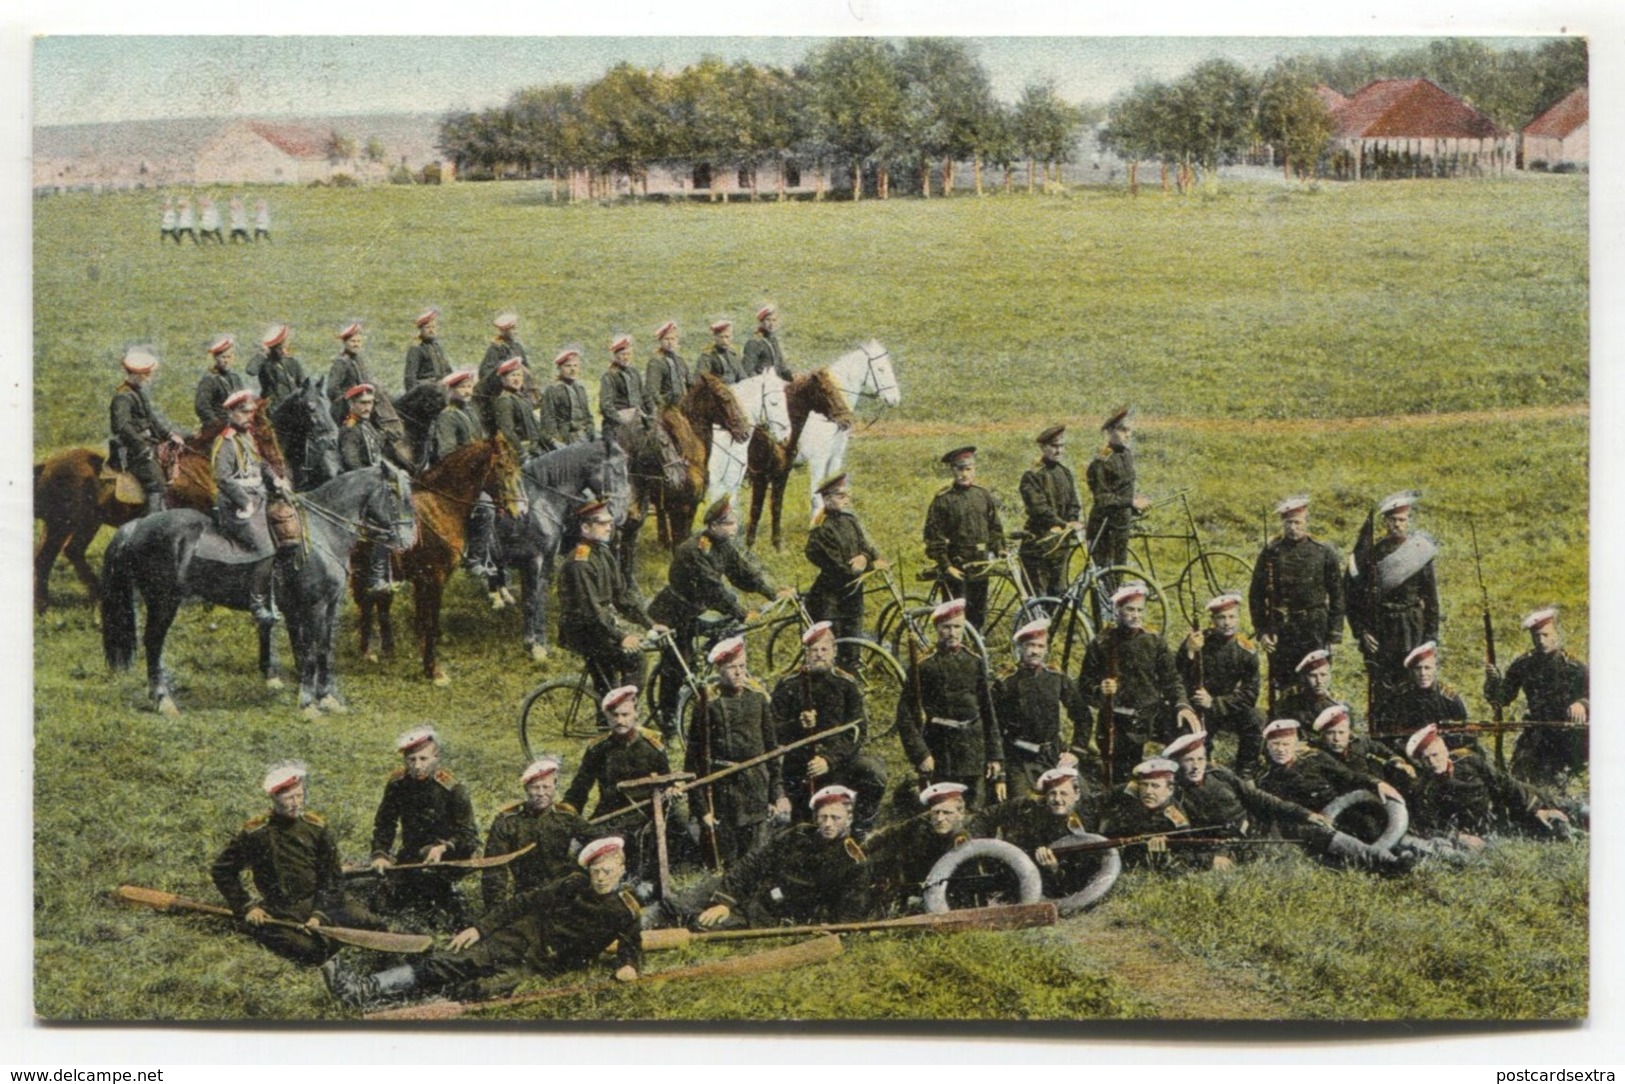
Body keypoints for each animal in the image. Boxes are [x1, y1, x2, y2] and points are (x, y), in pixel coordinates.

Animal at [33, 403, 286, 614]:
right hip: (63, 523)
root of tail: (48, 463)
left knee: (69, 552)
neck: (199, 465)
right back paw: (47, 606)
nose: (280, 466)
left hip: (85, 523)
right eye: (263, 432)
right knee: (47, 557)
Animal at [100, 461, 416, 715]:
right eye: (396, 495)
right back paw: (163, 701)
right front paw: (307, 704)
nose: (409, 541)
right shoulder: (312, 607)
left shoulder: (328, 605)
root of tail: (138, 526)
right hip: (163, 601)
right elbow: (310, 651)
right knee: (153, 643)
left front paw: (326, 698)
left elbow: (323, 650)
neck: (322, 532)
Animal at [351, 435, 523, 682]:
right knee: (368, 605)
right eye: (501, 466)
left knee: (380, 606)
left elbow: (424, 619)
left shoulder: (423, 579)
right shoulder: (435, 578)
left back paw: (385, 651)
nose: (517, 511)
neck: (441, 507)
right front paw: (433, 671)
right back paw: (369, 652)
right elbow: (430, 622)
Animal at [744, 368, 858, 552]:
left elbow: (776, 508)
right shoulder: (760, 477)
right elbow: (756, 511)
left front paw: (778, 547)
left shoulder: (781, 476)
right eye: (825, 390)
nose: (847, 420)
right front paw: (748, 548)